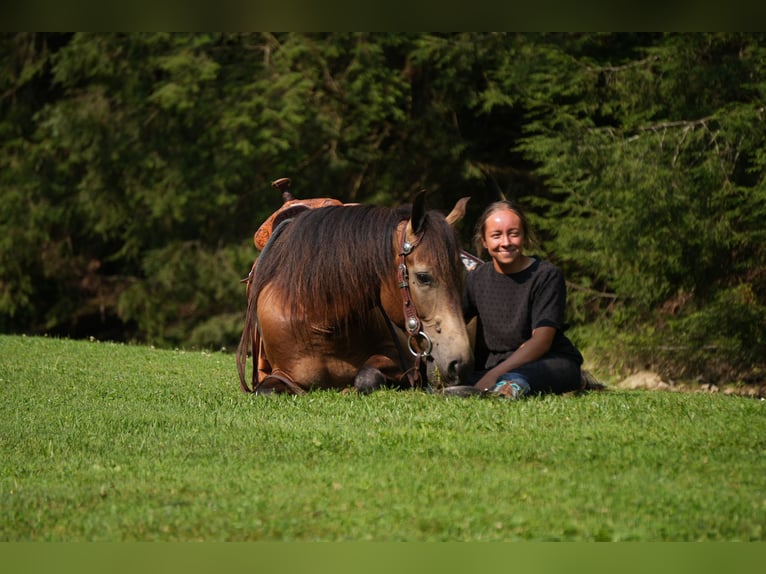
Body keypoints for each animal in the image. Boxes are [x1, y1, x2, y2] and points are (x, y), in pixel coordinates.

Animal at [236, 189, 474, 395]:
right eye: (424, 277)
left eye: (462, 275)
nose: (459, 363)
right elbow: (265, 391)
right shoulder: (279, 374)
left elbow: (367, 376)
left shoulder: (397, 358)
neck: (319, 322)